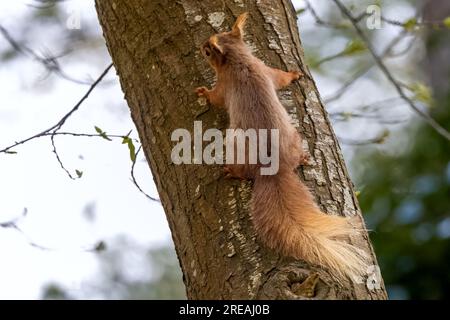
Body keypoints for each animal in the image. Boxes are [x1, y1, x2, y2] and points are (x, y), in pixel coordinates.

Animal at [195, 13, 368, 282]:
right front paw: (294, 75)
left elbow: (216, 99)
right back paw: (304, 158)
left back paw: (232, 171)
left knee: (242, 171)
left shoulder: (224, 85)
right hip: (294, 138)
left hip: (238, 148)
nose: (200, 45)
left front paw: (203, 92)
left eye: (207, 51)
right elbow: (281, 78)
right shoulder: (266, 70)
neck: (240, 61)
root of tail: (274, 168)